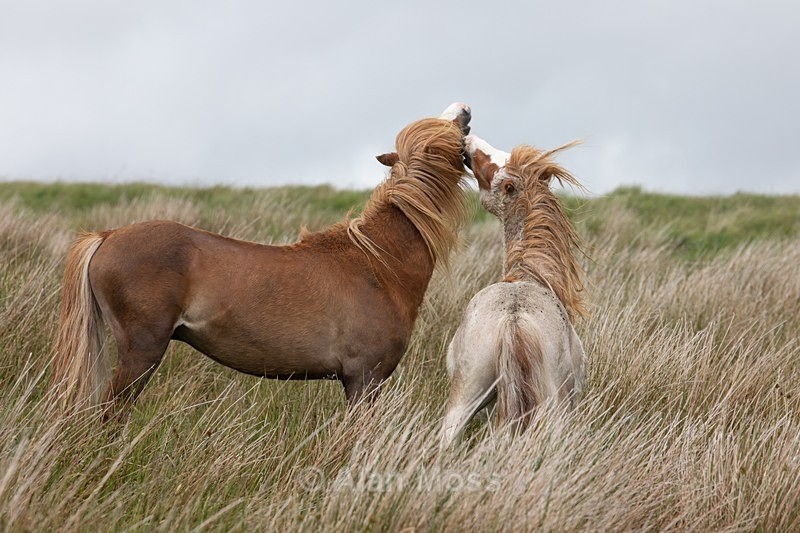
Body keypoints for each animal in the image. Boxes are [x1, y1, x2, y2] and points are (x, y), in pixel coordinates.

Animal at [51, 103, 472, 415]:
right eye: (451, 128)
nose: (465, 108)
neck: (378, 264)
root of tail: (107, 236)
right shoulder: (363, 380)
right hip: (141, 352)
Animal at [440, 133, 587, 447]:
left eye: (493, 165)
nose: (466, 141)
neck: (527, 275)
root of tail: (512, 320)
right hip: (554, 409)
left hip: (465, 396)